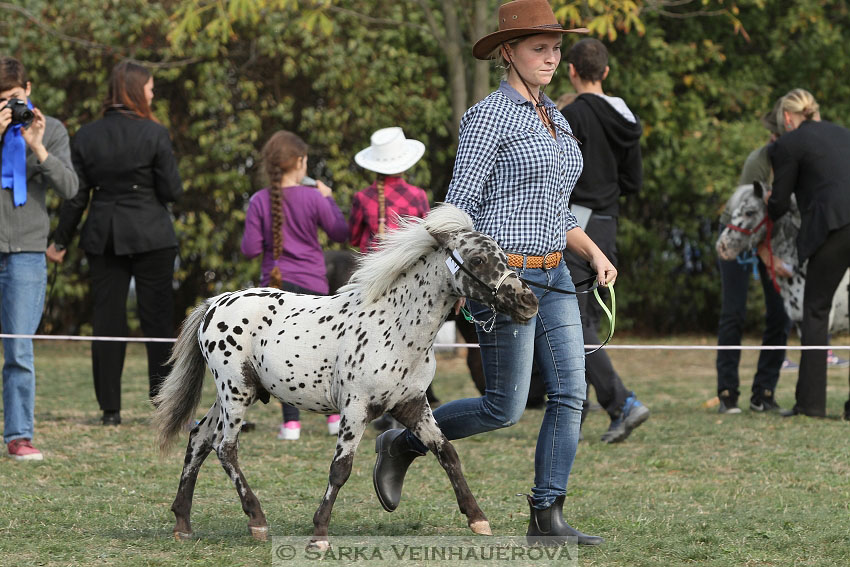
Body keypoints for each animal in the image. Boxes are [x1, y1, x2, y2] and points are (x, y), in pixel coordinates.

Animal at [152, 204, 536, 552]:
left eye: (503, 256)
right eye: (478, 260)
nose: (527, 302)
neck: (395, 328)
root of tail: (215, 303)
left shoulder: (412, 404)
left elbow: (447, 453)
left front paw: (478, 519)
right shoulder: (355, 409)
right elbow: (341, 469)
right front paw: (319, 535)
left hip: (230, 395)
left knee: (199, 438)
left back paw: (183, 524)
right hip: (236, 392)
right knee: (225, 448)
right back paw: (257, 521)